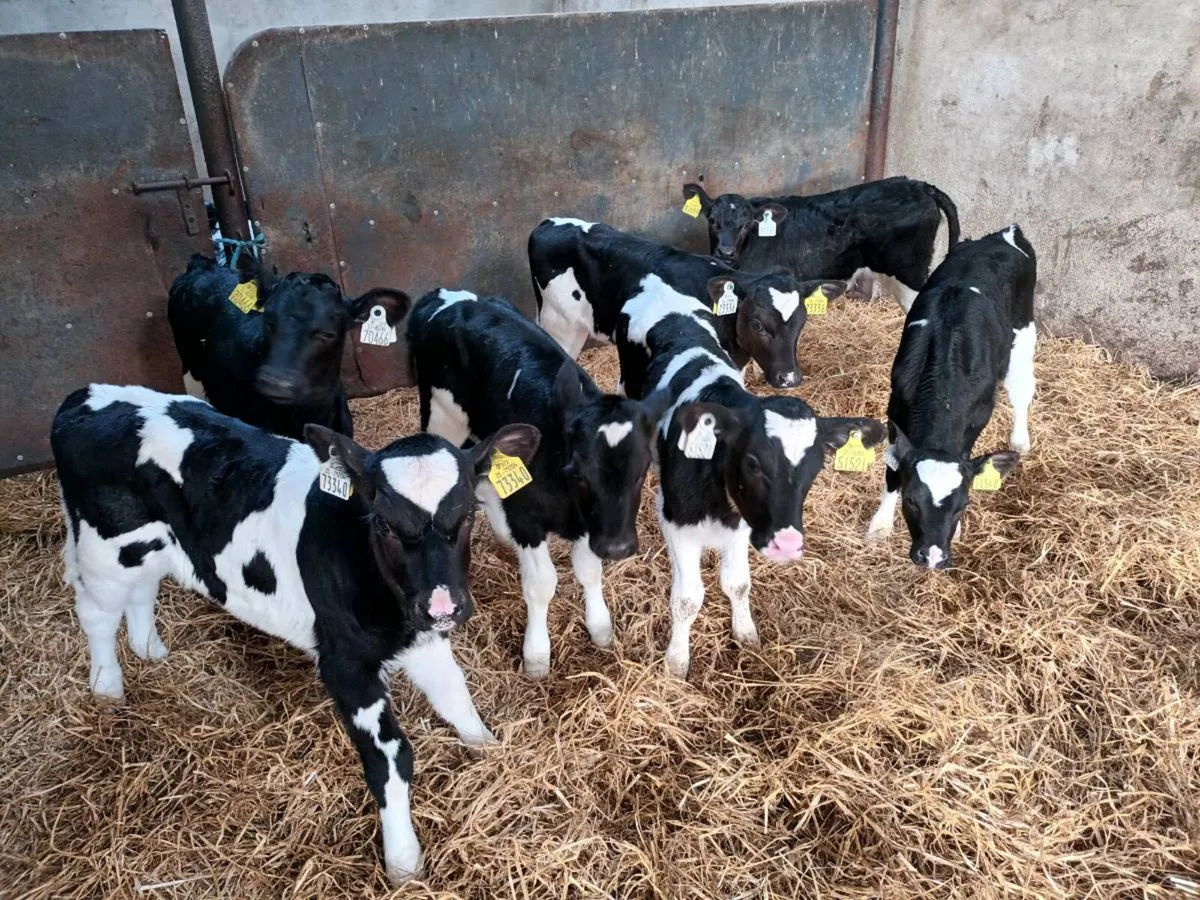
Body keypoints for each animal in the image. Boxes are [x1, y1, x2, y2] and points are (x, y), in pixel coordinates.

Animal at [50, 384, 539, 884]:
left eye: (469, 513)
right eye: (383, 522)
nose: (443, 606)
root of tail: (86, 394)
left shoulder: (420, 636)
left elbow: (455, 695)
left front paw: (487, 746)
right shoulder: (346, 666)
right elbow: (389, 759)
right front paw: (403, 861)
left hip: (148, 550)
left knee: (143, 591)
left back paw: (149, 649)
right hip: (104, 552)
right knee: (96, 614)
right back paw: (107, 688)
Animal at [407, 289, 669, 678]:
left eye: (642, 471)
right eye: (579, 472)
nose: (618, 547)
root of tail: (443, 294)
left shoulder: (590, 523)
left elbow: (589, 570)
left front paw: (599, 626)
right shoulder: (527, 515)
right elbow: (542, 584)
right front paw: (536, 654)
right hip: (442, 414)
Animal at [611, 279, 885, 677]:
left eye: (816, 466)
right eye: (753, 462)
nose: (787, 543)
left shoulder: (748, 522)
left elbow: (738, 583)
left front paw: (745, 633)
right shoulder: (677, 523)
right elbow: (687, 599)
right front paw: (677, 661)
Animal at [865, 224, 1037, 569]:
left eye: (963, 505)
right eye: (912, 501)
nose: (932, 556)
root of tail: (1004, 234)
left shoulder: (978, 417)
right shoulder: (896, 411)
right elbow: (892, 469)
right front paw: (880, 524)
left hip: (1024, 332)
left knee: (1022, 388)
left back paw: (1020, 438)